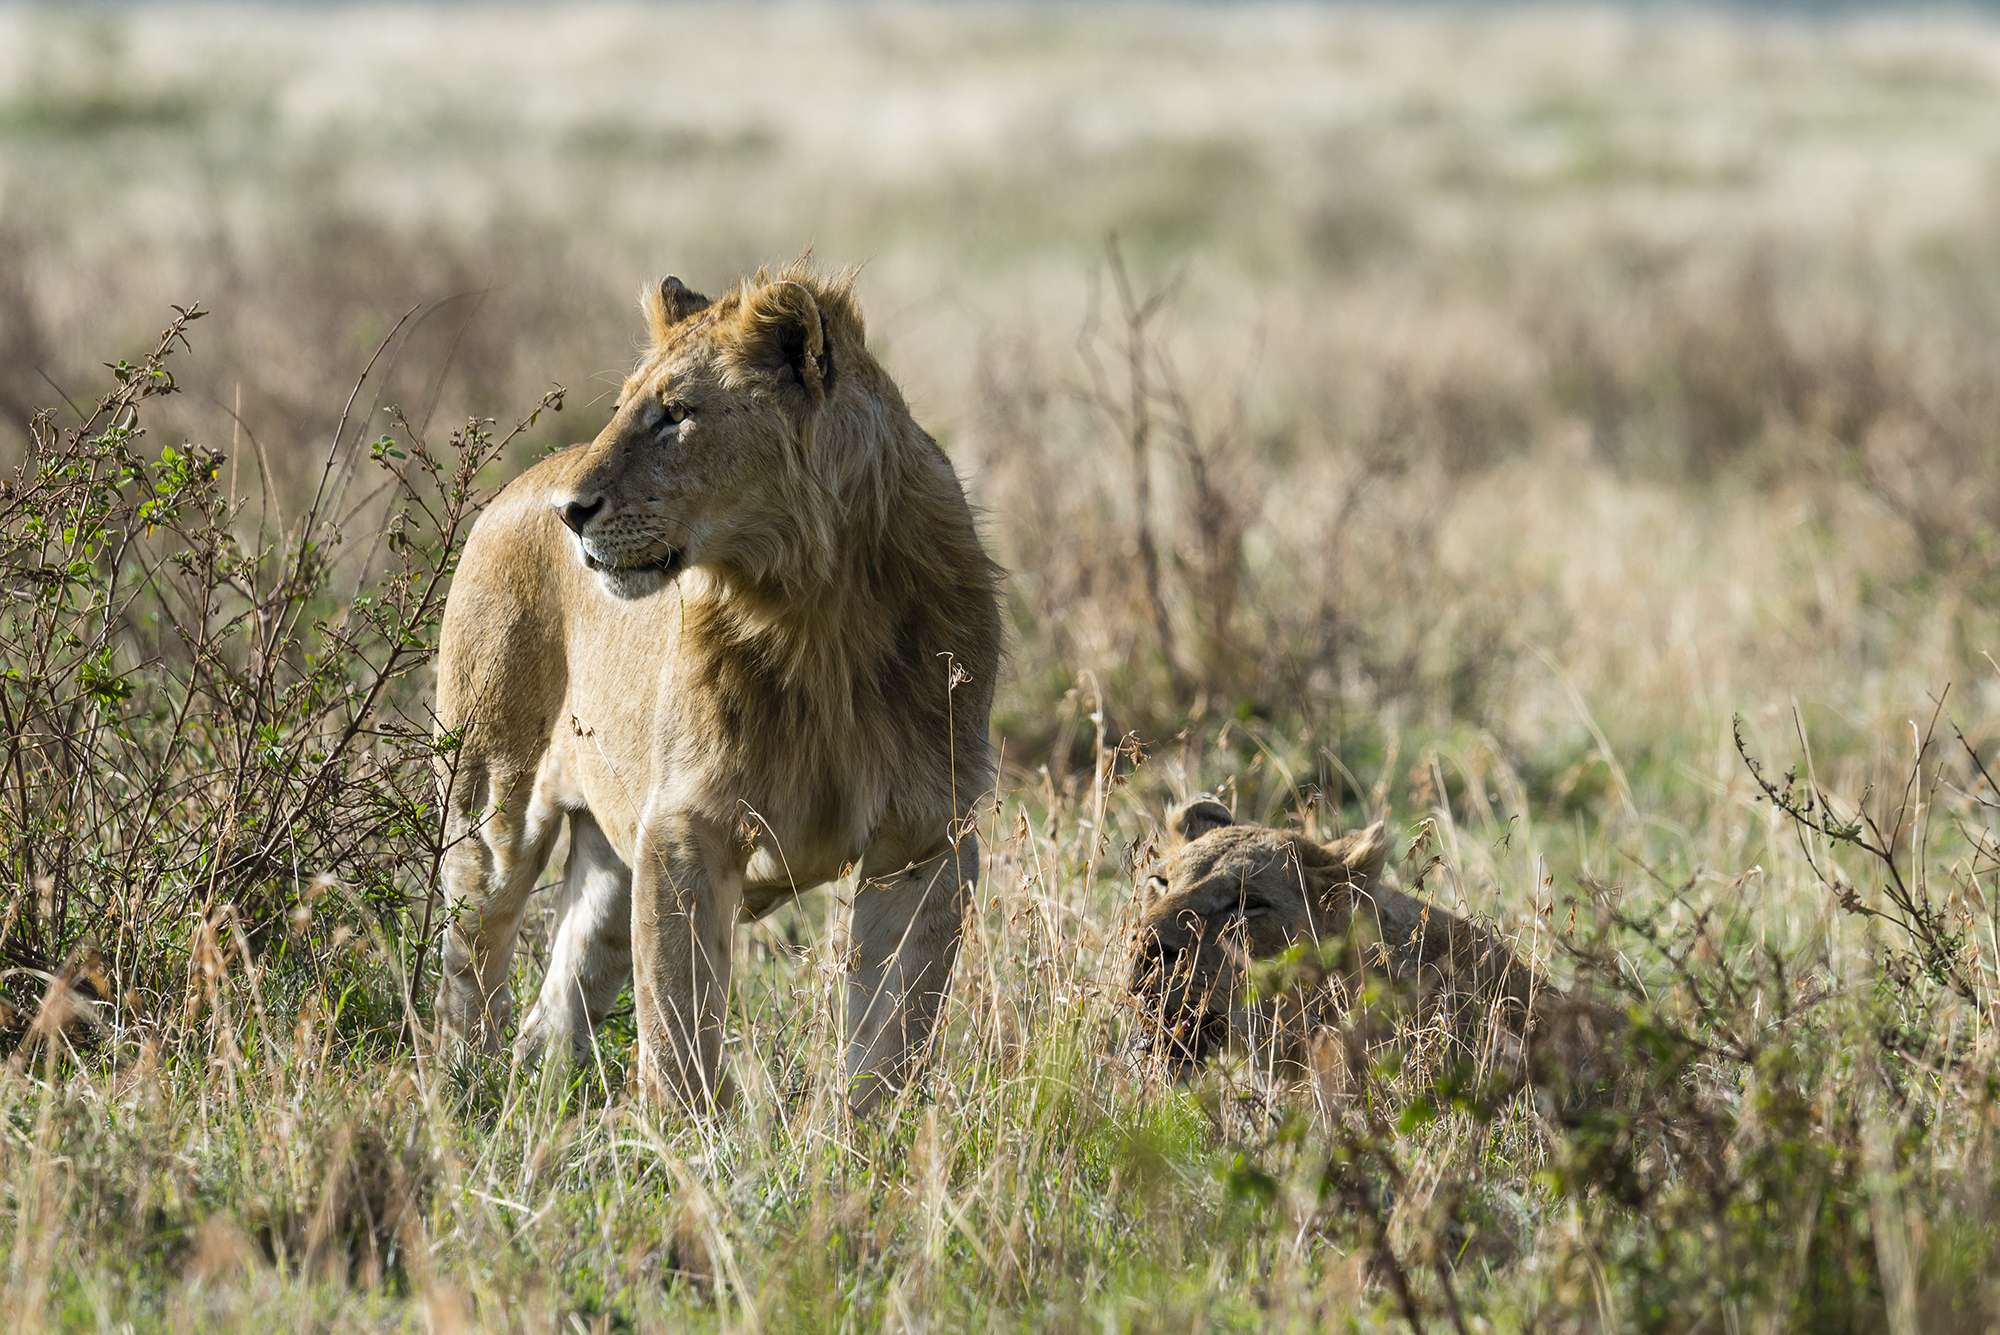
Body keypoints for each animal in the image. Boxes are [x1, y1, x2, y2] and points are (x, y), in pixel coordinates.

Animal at [436, 255, 1000, 1111]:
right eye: (622, 409)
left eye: (675, 414)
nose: (571, 512)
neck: (814, 608)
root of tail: (516, 485)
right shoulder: (684, 824)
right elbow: (678, 1019)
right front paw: (683, 1138)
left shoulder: (927, 835)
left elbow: (891, 1033)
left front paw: (865, 1138)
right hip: (492, 800)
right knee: (468, 961)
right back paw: (458, 1090)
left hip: (609, 858)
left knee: (557, 1004)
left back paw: (529, 1100)